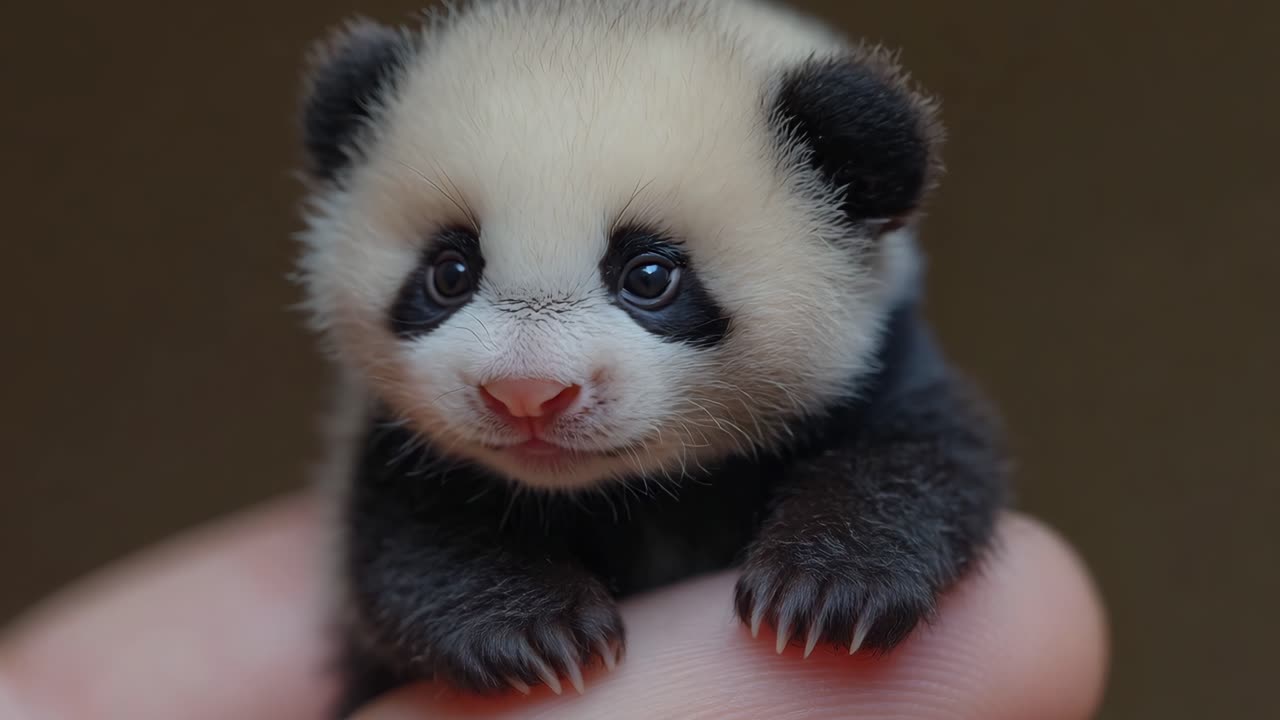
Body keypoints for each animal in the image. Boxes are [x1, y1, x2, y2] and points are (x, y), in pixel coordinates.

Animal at [293, 0, 1008, 714]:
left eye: (649, 275)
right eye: (450, 272)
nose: (527, 394)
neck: (627, 494)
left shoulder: (877, 364)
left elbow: (923, 457)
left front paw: (829, 590)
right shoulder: (397, 449)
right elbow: (408, 542)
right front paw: (532, 632)